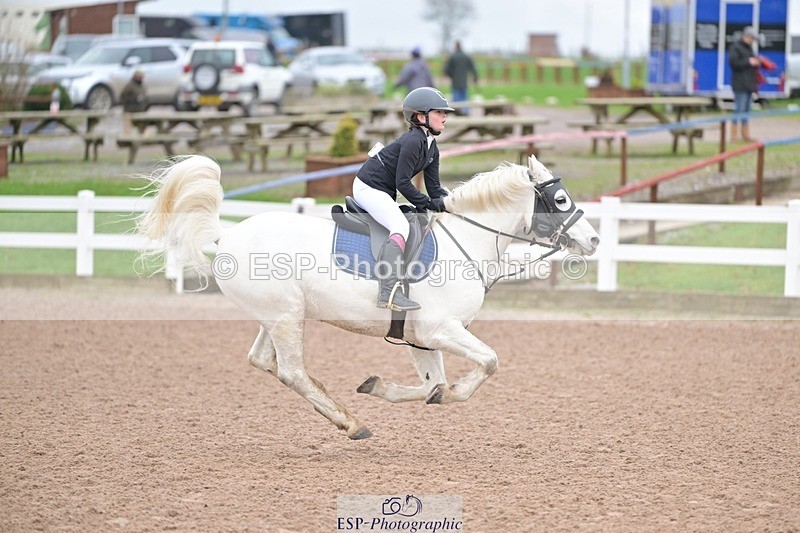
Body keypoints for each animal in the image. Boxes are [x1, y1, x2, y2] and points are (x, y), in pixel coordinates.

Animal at [136, 154, 599, 439]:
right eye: (560, 199)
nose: (594, 240)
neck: (467, 240)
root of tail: (227, 233)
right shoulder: (440, 329)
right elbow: (488, 362)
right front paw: (444, 394)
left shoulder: (421, 338)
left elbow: (433, 383)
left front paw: (386, 387)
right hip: (286, 316)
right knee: (291, 371)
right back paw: (351, 424)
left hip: (278, 314)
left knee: (263, 359)